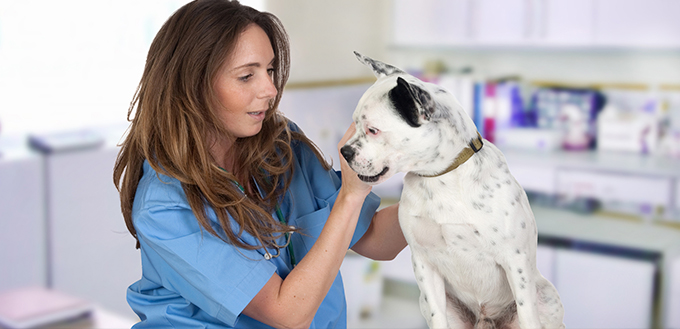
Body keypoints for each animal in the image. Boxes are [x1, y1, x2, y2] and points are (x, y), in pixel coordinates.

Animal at [342, 52, 564, 326]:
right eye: (354, 124)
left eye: (373, 130)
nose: (344, 152)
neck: (441, 177)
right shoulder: (424, 263)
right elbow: (437, 314)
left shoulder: (516, 261)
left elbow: (527, 314)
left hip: (545, 295)